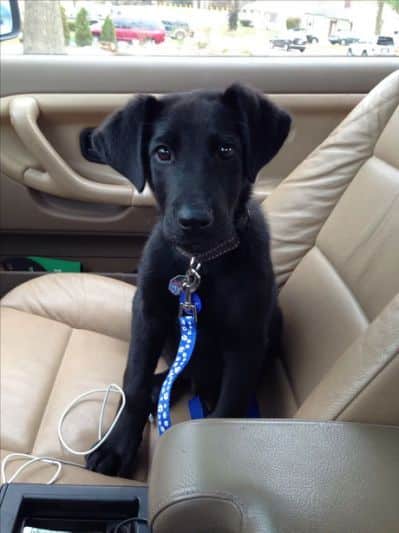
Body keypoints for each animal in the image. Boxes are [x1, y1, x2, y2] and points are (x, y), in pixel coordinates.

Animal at [86, 84, 290, 478]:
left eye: (226, 150)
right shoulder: (147, 314)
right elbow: (134, 380)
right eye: (163, 153)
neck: (201, 264)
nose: (193, 221)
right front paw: (117, 446)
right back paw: (160, 387)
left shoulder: (246, 340)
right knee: (180, 372)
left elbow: (230, 406)